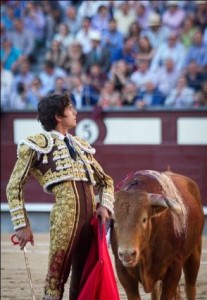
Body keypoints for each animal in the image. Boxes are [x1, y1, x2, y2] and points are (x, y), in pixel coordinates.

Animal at [111, 171, 205, 300]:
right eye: (114, 220)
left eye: (144, 219)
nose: (127, 254)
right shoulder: (122, 270)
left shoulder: (173, 269)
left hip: (195, 252)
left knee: (190, 287)